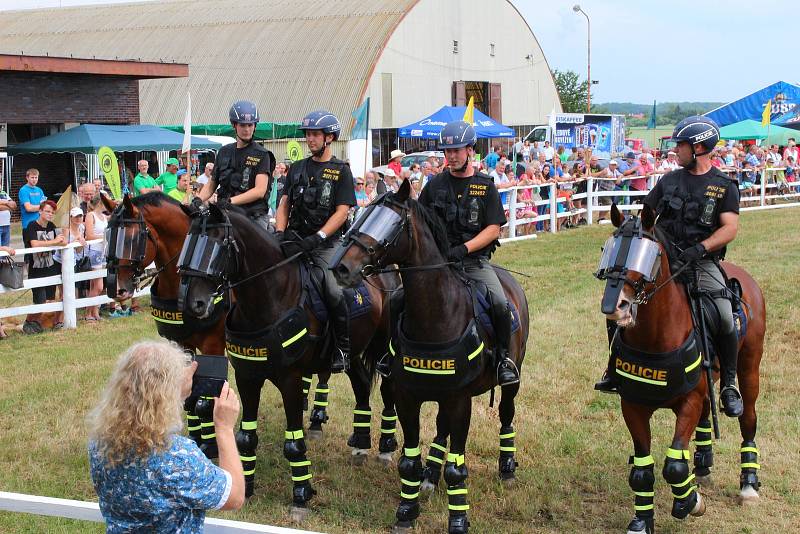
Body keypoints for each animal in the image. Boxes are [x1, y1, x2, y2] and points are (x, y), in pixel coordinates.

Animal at [178, 203, 396, 520]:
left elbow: (294, 444)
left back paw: (385, 449)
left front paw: (300, 497)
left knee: (387, 390)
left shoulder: (291, 381)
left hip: (382, 349)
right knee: (362, 385)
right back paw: (360, 444)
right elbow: (246, 438)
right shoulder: (247, 377)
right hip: (354, 353)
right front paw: (247, 488)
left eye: (215, 247)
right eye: (189, 244)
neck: (271, 297)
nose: (193, 304)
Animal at [328, 179, 528, 534]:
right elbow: (409, 461)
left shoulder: (460, 401)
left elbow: (457, 468)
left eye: (389, 223)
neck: (436, 313)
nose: (342, 268)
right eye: (363, 216)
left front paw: (458, 520)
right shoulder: (409, 397)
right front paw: (407, 512)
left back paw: (506, 466)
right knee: (441, 429)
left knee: (506, 413)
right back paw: (431, 476)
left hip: (510, 381)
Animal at [596, 205, 764, 534]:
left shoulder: (688, 401)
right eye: (609, 249)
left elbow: (674, 466)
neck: (655, 338)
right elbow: (642, 471)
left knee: (748, 417)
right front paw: (642, 521)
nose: (615, 306)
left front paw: (690, 502)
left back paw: (748, 484)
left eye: (646, 255)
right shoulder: (632, 405)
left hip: (749, 367)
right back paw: (702, 465)